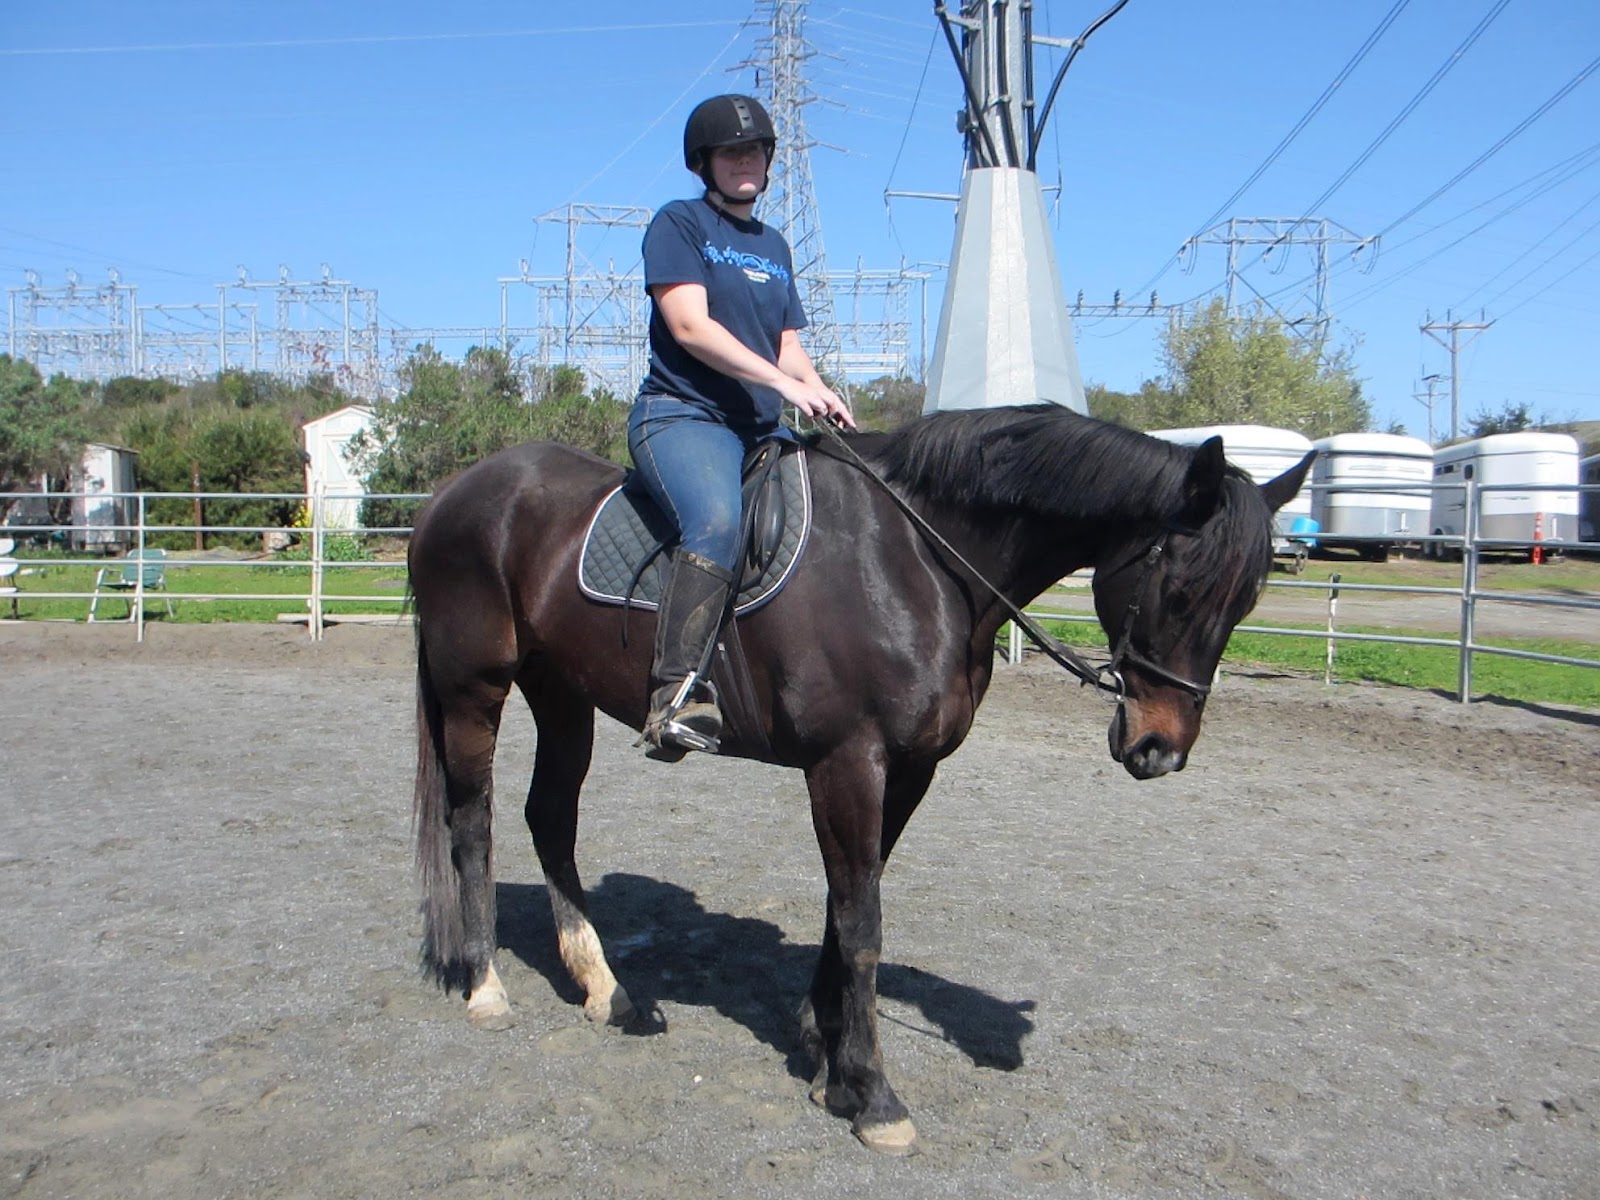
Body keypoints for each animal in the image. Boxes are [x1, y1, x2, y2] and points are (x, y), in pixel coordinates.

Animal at [406, 402, 1312, 1154]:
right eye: (1180, 589)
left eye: (1246, 603)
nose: (1160, 749)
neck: (920, 560)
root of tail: (454, 495)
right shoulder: (848, 762)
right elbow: (864, 921)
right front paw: (874, 1097)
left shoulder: (906, 770)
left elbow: (846, 909)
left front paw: (825, 1057)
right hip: (474, 688)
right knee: (473, 821)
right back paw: (486, 985)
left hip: (562, 694)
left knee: (550, 818)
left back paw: (604, 986)